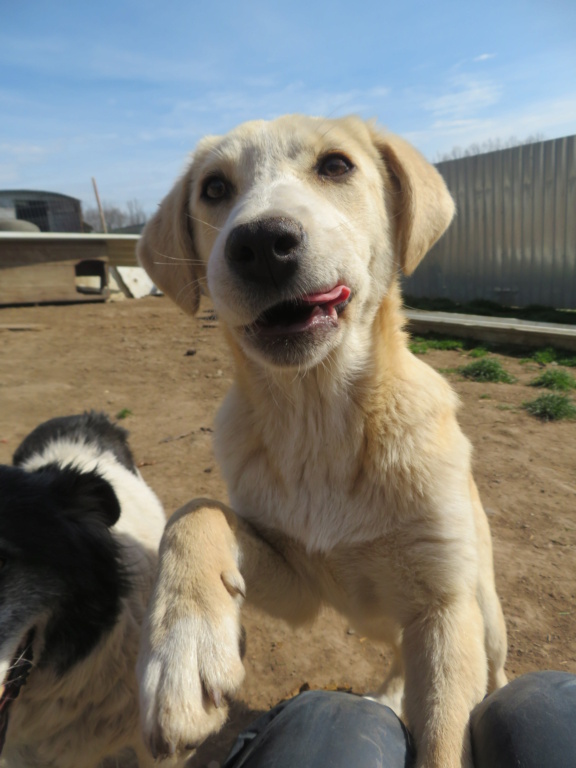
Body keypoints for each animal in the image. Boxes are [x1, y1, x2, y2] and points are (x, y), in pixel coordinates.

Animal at [137, 114, 506, 768]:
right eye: (213, 188)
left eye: (336, 165)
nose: (261, 244)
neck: (321, 420)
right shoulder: (300, 583)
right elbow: (195, 510)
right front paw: (181, 650)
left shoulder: (443, 609)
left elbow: (444, 742)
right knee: (399, 659)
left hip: (483, 615)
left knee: (494, 667)